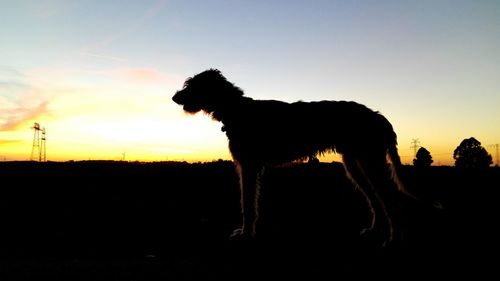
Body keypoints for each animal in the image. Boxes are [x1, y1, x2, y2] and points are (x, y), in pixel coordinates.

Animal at [173, 68, 414, 243]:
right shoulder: (248, 166)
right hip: (355, 164)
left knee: (390, 199)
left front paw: (246, 234)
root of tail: (380, 118)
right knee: (375, 198)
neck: (237, 110)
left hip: (369, 161)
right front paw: (246, 232)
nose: (174, 97)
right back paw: (375, 230)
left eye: (192, 85)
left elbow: (248, 204)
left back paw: (394, 238)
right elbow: (248, 201)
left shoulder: (249, 166)